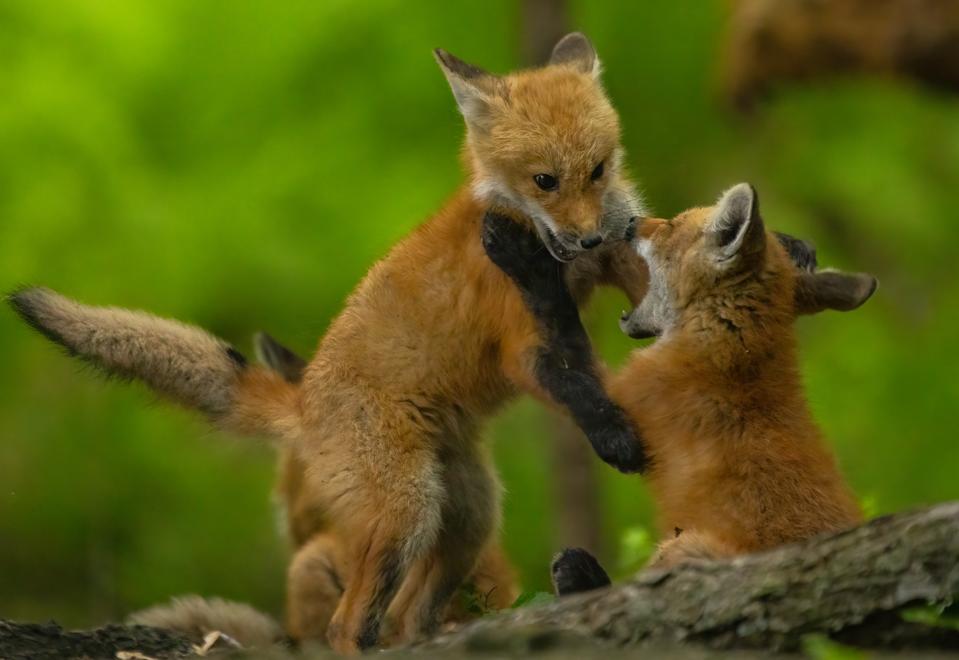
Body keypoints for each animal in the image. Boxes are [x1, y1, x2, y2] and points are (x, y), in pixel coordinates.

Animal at [8, 33, 656, 653]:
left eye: (598, 170)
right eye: (544, 181)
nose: (588, 237)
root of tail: (302, 401)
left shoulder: (617, 261)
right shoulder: (523, 338)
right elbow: (577, 386)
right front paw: (617, 439)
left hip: (468, 515)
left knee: (411, 615)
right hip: (405, 513)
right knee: (350, 624)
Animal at [481, 183, 875, 595]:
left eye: (670, 226)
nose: (631, 222)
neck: (732, 354)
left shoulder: (630, 403)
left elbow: (560, 329)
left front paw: (523, 259)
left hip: (681, 546)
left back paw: (579, 576)